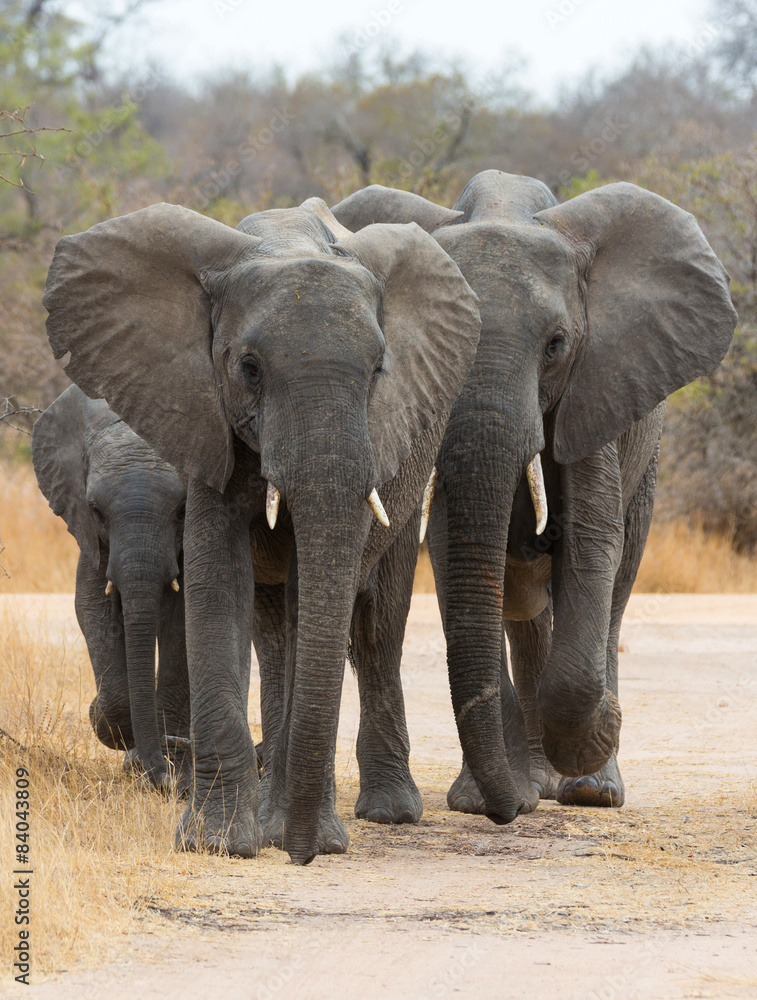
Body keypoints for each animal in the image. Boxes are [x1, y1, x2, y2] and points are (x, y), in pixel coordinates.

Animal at [31, 385, 189, 787]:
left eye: (183, 510)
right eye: (96, 510)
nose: (163, 780)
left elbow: (183, 620)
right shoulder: (88, 533)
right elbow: (90, 605)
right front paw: (101, 717)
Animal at [333, 171, 737, 819]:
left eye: (556, 344)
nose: (506, 810)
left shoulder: (596, 385)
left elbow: (593, 541)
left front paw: (597, 736)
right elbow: (455, 553)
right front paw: (486, 802)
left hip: (647, 455)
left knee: (616, 588)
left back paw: (592, 788)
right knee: (521, 605)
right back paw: (535, 780)